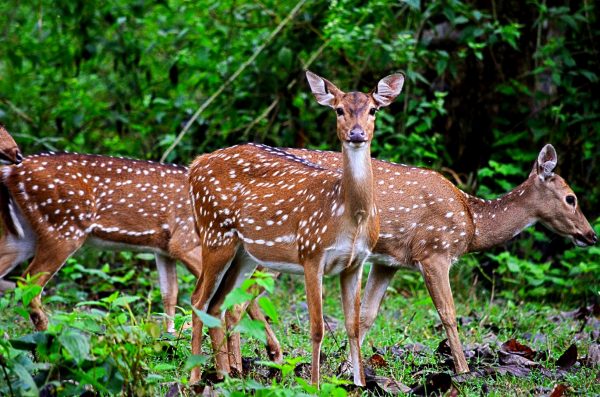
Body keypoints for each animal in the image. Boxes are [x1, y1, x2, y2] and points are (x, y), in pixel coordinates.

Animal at [188, 70, 404, 384]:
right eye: (339, 110)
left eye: (373, 110)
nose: (356, 134)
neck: (350, 217)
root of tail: (194, 165)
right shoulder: (311, 252)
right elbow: (317, 327)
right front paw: (315, 384)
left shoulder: (356, 262)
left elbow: (352, 326)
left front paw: (360, 383)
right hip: (215, 232)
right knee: (198, 299)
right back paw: (195, 378)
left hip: (244, 253)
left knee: (219, 303)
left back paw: (228, 375)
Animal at [276, 143, 596, 374]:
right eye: (571, 198)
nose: (591, 235)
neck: (472, 222)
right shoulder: (434, 250)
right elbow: (448, 313)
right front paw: (464, 370)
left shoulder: (388, 261)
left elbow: (366, 315)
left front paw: (344, 367)